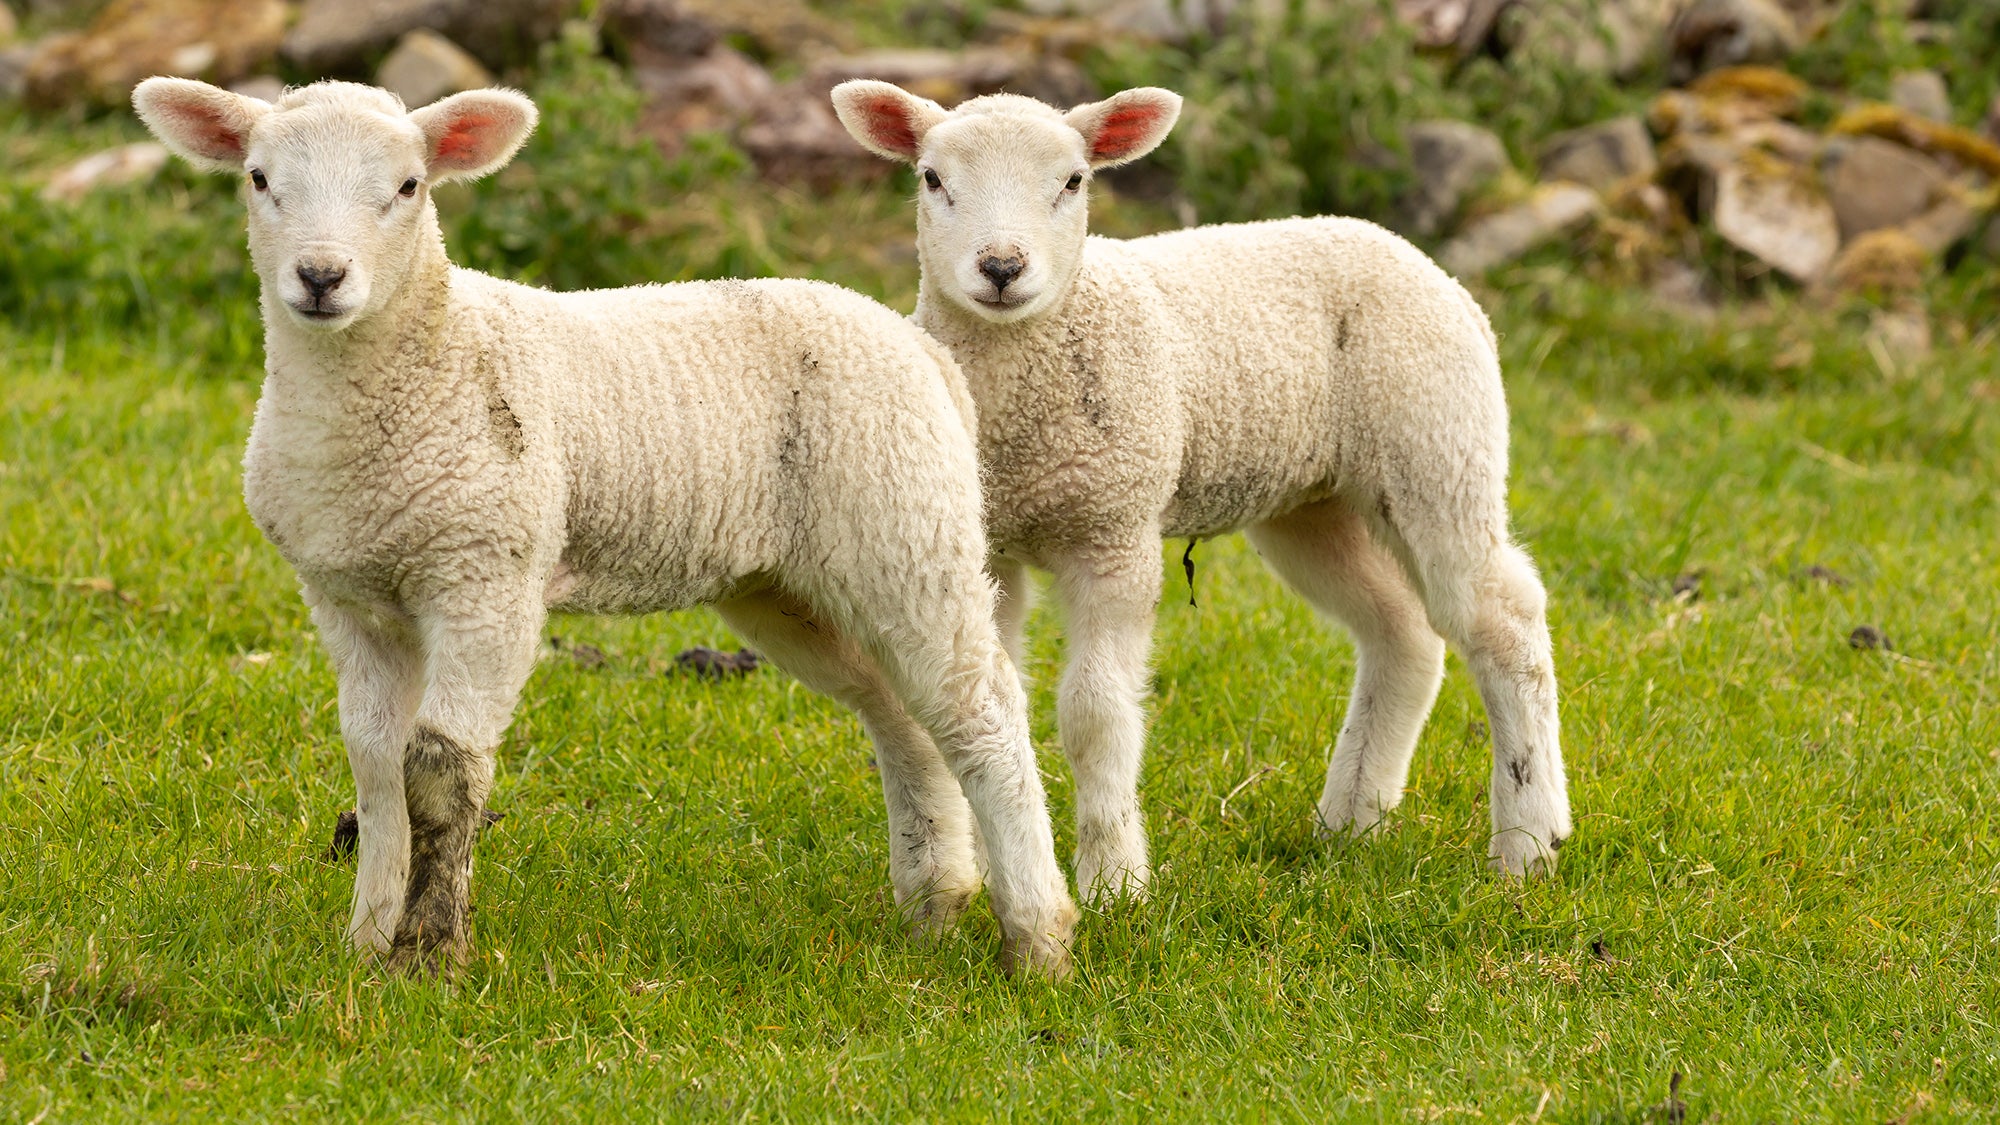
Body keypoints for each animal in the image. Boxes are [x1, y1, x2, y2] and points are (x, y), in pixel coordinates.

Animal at [131, 77, 1077, 977]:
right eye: (259, 179)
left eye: (407, 186)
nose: (322, 279)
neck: (427, 354)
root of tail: (923, 349)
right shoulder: (347, 596)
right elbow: (374, 764)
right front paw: (365, 940)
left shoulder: (488, 575)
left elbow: (438, 768)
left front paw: (429, 953)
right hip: (795, 584)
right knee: (904, 716)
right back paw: (935, 902)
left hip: (907, 525)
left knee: (984, 708)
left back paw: (1038, 938)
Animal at [830, 80, 1573, 899]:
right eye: (932, 179)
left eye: (1073, 181)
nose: (1000, 266)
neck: (1022, 410)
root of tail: (1422, 263)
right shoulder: (990, 547)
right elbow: (999, 701)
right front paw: (1013, 873)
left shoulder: (1116, 528)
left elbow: (1096, 716)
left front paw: (1114, 882)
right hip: (1313, 502)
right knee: (1402, 631)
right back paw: (1351, 822)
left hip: (1438, 442)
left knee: (1504, 617)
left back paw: (1529, 842)